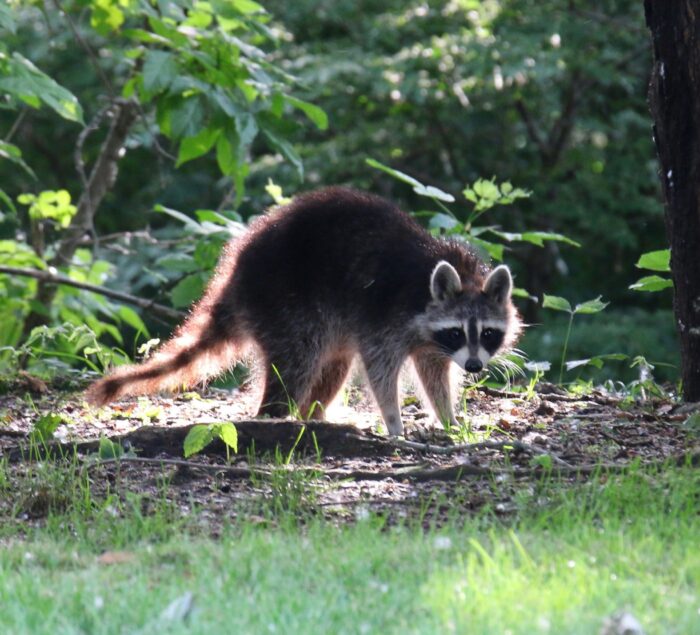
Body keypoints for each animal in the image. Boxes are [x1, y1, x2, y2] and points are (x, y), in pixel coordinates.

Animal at [86, 188, 520, 438]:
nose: (476, 367)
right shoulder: (385, 315)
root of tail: (233, 277)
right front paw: (393, 419)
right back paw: (277, 418)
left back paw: (314, 415)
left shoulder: (430, 341)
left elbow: (434, 375)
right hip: (284, 301)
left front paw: (447, 416)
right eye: (457, 331)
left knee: (333, 364)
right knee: (298, 361)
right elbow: (380, 369)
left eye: (487, 333)